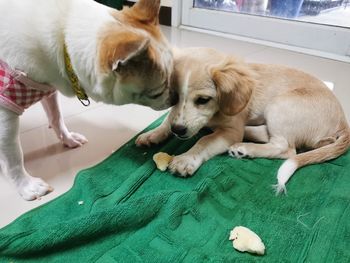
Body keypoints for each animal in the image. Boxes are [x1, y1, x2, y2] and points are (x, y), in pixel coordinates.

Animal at [0, 0, 174, 201]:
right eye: (156, 94)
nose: (177, 97)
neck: (64, 38)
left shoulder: (49, 87)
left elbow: (56, 117)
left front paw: (67, 138)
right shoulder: (5, 109)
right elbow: (13, 154)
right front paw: (26, 185)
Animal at [137, 47, 350, 195]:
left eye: (203, 100)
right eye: (173, 96)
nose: (178, 130)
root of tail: (344, 122)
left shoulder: (230, 130)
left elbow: (204, 141)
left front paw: (186, 159)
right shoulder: (177, 117)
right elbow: (168, 119)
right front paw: (152, 134)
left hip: (279, 105)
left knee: (285, 148)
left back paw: (244, 147)